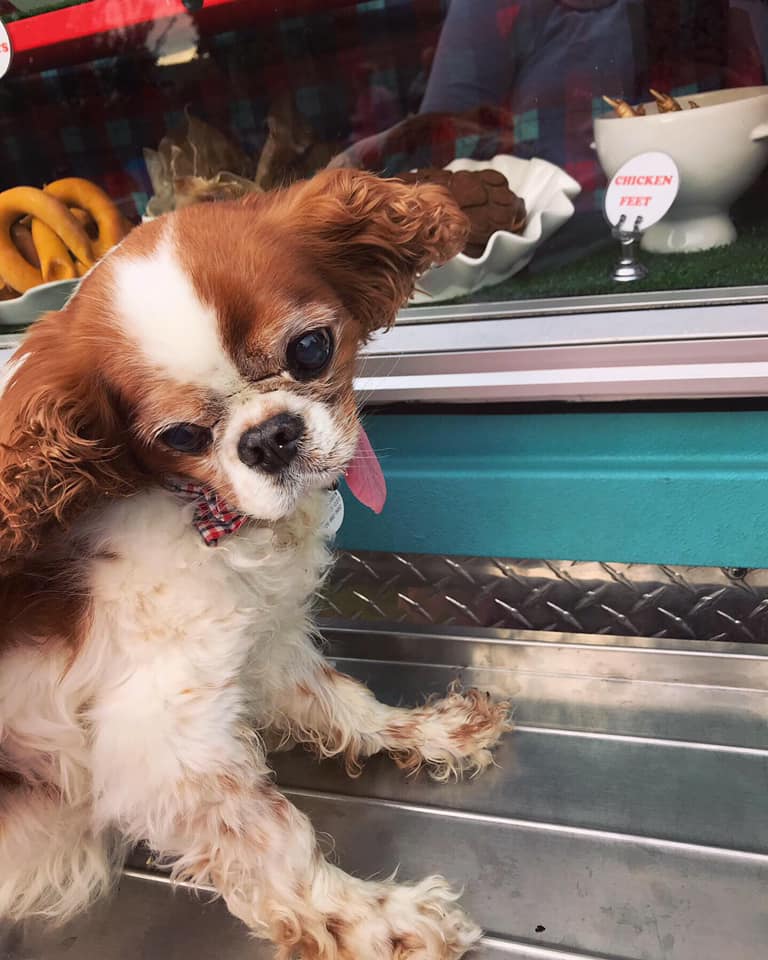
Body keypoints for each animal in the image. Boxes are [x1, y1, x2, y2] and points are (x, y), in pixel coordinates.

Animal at [1, 169, 516, 956]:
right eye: (180, 436)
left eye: (310, 350)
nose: (270, 437)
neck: (214, 521)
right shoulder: (167, 747)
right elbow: (278, 845)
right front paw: (382, 922)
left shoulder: (264, 636)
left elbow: (339, 697)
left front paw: (423, 732)